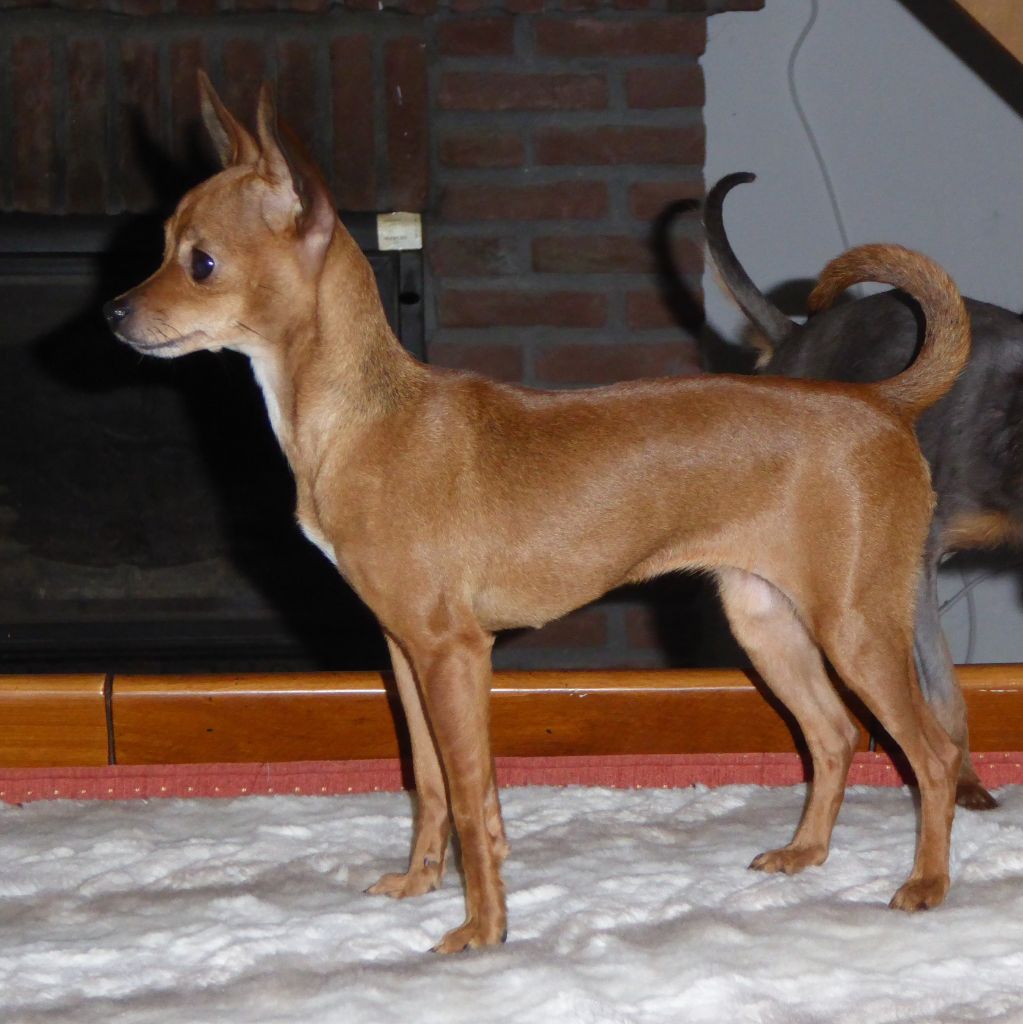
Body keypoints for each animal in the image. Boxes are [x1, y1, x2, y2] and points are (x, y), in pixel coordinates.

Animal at [105, 76, 968, 952]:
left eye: (201, 262)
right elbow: (434, 786)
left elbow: (468, 793)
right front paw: (421, 883)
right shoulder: (405, 653)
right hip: (764, 621)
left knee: (931, 752)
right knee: (834, 735)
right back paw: (805, 854)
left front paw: (481, 931)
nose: (112, 315)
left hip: (855, 629)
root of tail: (878, 402)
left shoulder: (453, 654)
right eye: (161, 245)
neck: (367, 416)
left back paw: (925, 883)